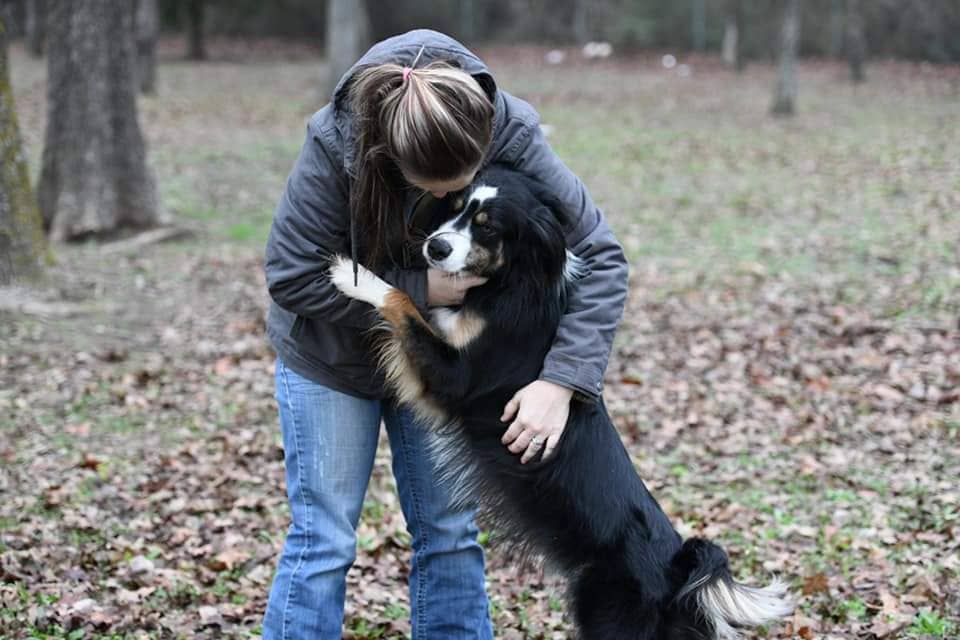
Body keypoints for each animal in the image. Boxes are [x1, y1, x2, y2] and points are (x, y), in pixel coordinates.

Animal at [330, 168, 796, 636]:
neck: (510, 284)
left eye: (488, 227)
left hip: (608, 616)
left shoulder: (455, 377)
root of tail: (676, 575)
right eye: (456, 207)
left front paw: (355, 276)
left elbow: (402, 302)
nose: (436, 247)